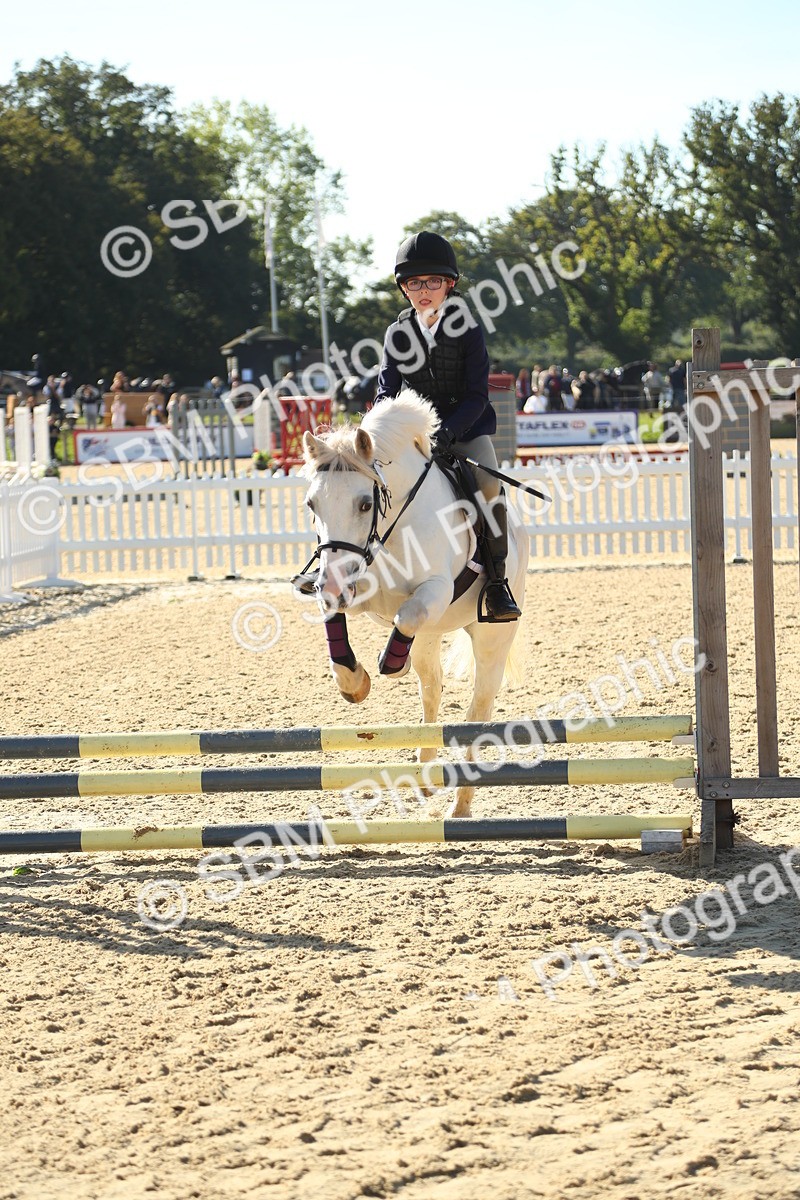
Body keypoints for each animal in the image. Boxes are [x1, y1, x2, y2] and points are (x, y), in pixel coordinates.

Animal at [299, 392, 528, 817]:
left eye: (363, 504)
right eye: (312, 505)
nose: (332, 582)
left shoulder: (433, 591)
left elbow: (407, 613)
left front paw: (389, 663)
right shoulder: (353, 586)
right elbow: (335, 616)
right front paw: (354, 682)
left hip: (493, 637)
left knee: (479, 709)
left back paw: (460, 807)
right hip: (431, 636)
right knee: (432, 688)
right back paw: (424, 773)